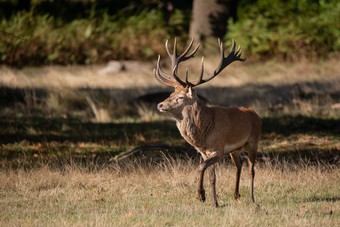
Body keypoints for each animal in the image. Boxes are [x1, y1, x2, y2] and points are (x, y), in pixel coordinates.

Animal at [154, 39, 262, 207]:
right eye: (171, 93)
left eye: (180, 97)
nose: (160, 105)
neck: (204, 132)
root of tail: (256, 114)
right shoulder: (204, 152)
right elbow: (212, 176)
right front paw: (213, 202)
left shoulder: (218, 149)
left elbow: (201, 167)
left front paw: (201, 195)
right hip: (235, 149)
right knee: (239, 165)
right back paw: (236, 195)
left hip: (253, 141)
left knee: (252, 170)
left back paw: (251, 198)